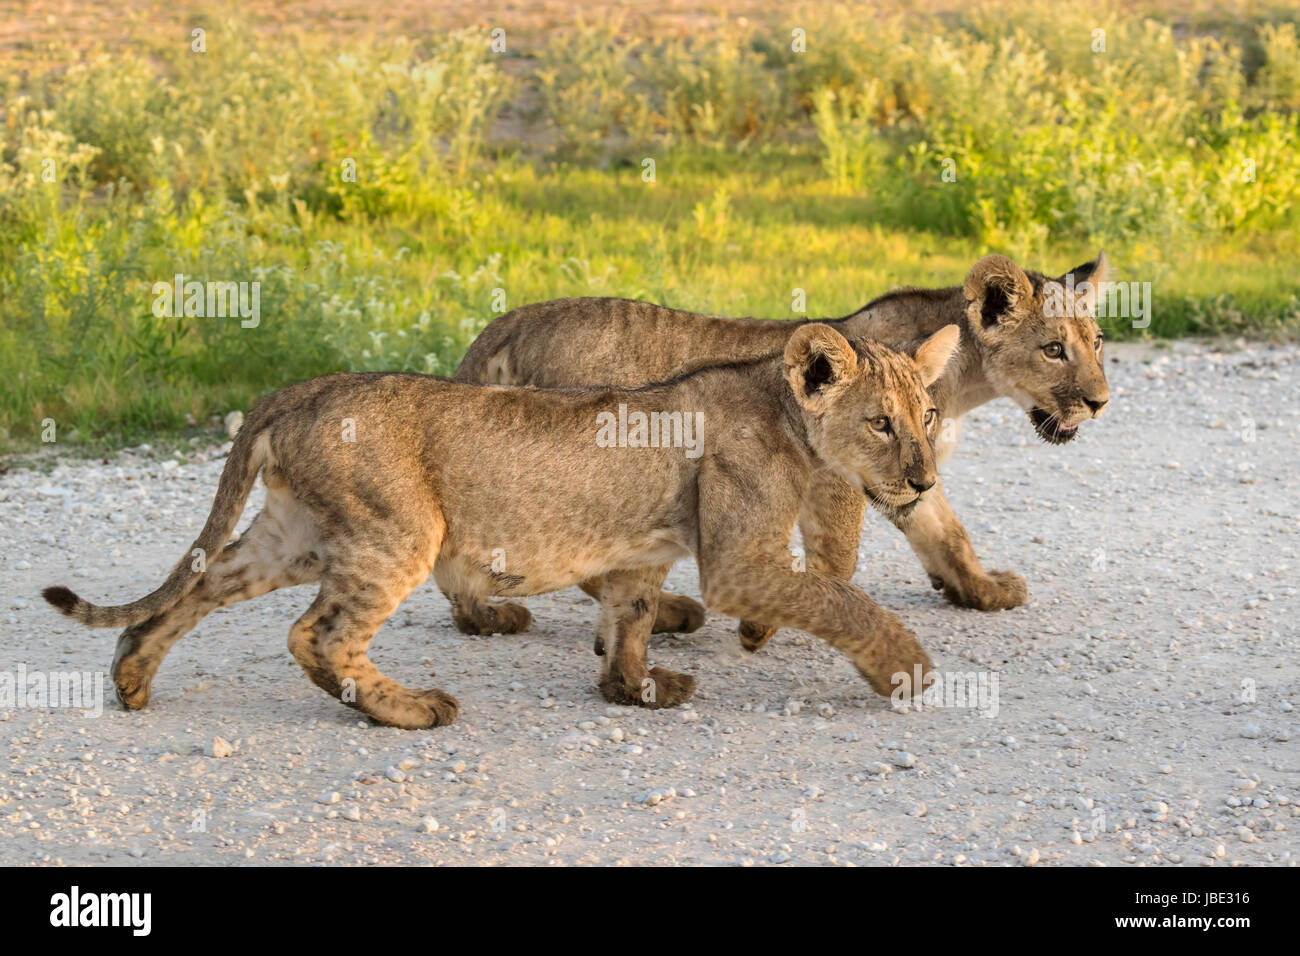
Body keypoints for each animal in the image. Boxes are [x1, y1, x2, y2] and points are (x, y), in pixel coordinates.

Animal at [42, 324, 960, 728]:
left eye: (929, 413)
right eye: (881, 424)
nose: (924, 479)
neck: (787, 417)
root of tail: (301, 388)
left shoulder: (642, 554)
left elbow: (628, 620)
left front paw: (636, 689)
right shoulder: (738, 562)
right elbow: (844, 602)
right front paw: (906, 666)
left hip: (292, 535)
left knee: (195, 589)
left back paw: (132, 678)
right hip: (396, 532)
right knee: (317, 636)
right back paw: (410, 709)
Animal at [454, 253, 1110, 651]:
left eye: (1098, 342)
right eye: (1054, 349)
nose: (1101, 402)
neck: (964, 377)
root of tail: (509, 322)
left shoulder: (910, 471)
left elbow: (946, 533)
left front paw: (981, 591)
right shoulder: (848, 473)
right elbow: (838, 559)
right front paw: (762, 624)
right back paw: (667, 613)